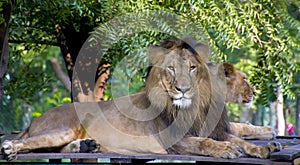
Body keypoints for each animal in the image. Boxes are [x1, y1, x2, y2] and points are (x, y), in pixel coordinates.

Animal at [1, 38, 280, 160]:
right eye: (171, 69)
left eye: (192, 68)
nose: (182, 89)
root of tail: (34, 121)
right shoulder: (175, 140)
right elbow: (205, 143)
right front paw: (226, 150)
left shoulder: (216, 129)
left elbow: (238, 137)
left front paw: (265, 147)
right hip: (62, 127)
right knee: (31, 143)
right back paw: (10, 147)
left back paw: (86, 146)